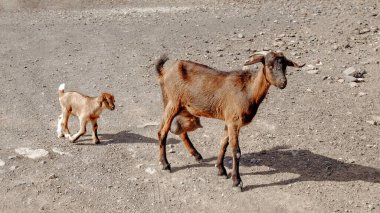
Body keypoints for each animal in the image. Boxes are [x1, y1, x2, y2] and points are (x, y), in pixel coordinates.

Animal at [154, 50, 302, 191]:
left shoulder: (229, 121)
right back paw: (165, 164)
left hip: (179, 106)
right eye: (269, 65)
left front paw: (220, 169)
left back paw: (196, 155)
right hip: (173, 102)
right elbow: (236, 151)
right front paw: (237, 182)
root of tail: (164, 72)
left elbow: (223, 143)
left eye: (284, 66)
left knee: (180, 131)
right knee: (162, 131)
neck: (248, 91)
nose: (283, 82)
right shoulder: (234, 121)